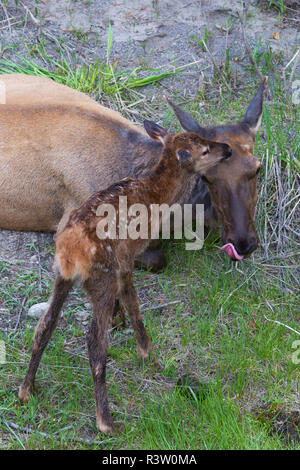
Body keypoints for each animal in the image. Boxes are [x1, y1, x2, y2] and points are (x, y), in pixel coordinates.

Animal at [18, 121, 231, 434]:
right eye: (204, 149)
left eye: (205, 138)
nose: (227, 148)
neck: (156, 198)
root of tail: (70, 249)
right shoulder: (126, 256)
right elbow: (133, 302)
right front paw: (148, 352)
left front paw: (120, 322)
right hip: (100, 276)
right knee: (95, 343)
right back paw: (106, 421)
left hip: (61, 276)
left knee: (45, 324)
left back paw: (26, 390)